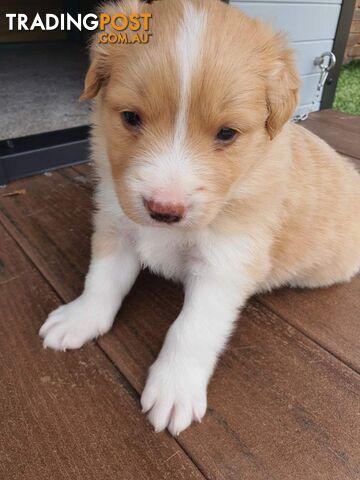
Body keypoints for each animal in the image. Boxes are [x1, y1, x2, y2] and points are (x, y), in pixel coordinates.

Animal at [39, 0, 360, 436]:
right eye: (131, 118)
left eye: (227, 133)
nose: (163, 210)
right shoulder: (117, 226)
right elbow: (101, 281)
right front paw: (80, 318)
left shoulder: (225, 263)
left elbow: (191, 329)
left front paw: (174, 387)